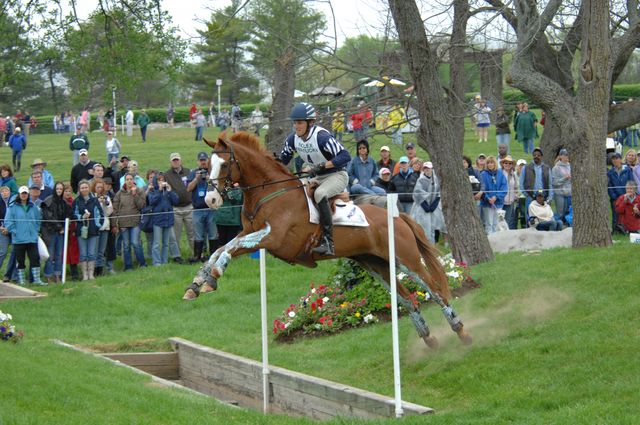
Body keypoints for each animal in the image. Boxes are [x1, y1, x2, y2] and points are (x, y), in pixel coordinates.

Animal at [182, 131, 472, 346]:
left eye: (224, 164)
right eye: (206, 166)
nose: (210, 200)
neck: (269, 194)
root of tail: (399, 217)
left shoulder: (273, 239)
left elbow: (229, 249)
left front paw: (211, 278)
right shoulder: (250, 233)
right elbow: (220, 249)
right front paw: (198, 284)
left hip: (406, 260)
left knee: (436, 291)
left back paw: (461, 331)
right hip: (377, 265)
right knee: (408, 300)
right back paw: (428, 338)